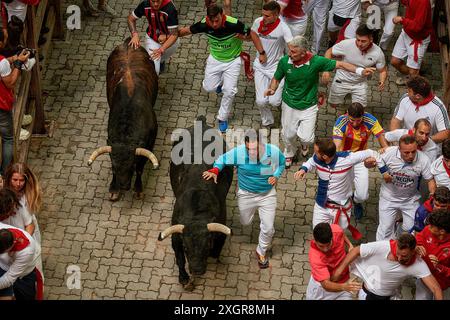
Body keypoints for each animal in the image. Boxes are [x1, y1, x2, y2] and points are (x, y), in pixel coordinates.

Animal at [87, 40, 159, 200]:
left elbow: (140, 168)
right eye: (114, 166)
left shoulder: (149, 143)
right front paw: (114, 189)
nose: (124, 186)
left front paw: (138, 189)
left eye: (131, 166)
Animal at [159, 116, 232, 288]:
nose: (197, 270)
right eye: (186, 248)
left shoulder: (220, 234)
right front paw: (184, 278)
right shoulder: (176, 237)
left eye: (207, 245)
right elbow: (179, 259)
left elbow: (215, 252)